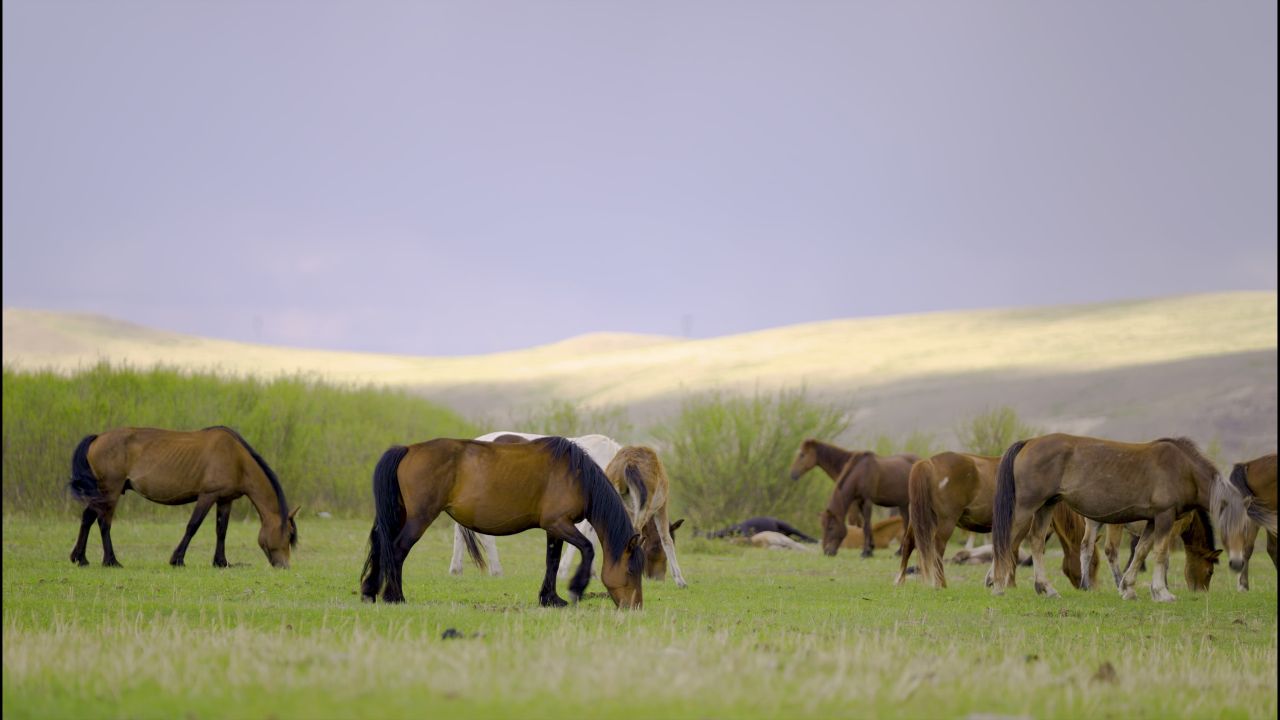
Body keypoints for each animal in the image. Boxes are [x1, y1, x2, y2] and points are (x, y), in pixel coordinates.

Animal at [66, 426, 299, 569]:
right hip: (111, 491)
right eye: (288, 535)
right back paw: (111, 561)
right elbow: (193, 526)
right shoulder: (207, 496)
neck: (237, 459)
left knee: (87, 519)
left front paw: (221, 562)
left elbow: (221, 531)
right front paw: (177, 559)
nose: (285, 566)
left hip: (101, 493)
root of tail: (98, 438)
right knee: (103, 523)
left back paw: (81, 558)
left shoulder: (225, 500)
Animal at [600, 446, 688, 587]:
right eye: (657, 550)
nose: (658, 578)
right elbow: (666, 538)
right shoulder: (662, 506)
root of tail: (627, 465)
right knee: (635, 533)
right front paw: (681, 581)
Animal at [991, 434, 1221, 602]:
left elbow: (1141, 551)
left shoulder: (1152, 522)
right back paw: (998, 584)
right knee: (1006, 541)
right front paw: (1161, 591)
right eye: (1210, 571)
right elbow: (1161, 555)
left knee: (1038, 542)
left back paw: (1047, 588)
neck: (1184, 468)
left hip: (1047, 507)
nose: (1202, 592)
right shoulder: (1166, 520)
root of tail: (1029, 442)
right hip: (1027, 508)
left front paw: (1129, 588)